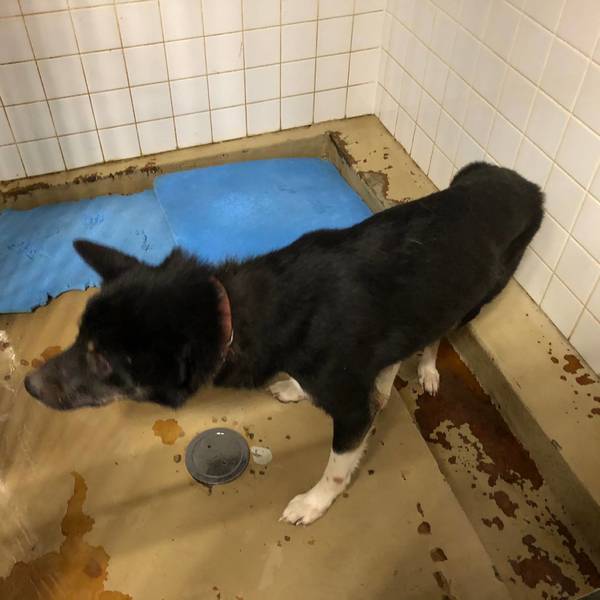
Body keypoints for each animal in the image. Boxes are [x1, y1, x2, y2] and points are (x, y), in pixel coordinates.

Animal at [25, 161, 543, 525]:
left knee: (440, 330)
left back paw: (428, 368)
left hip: (477, 296)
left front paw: (314, 503)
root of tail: (521, 184)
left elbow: (337, 466)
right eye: (79, 338)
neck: (233, 313)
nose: (28, 386)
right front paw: (297, 387)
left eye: (103, 364)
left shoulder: (350, 412)